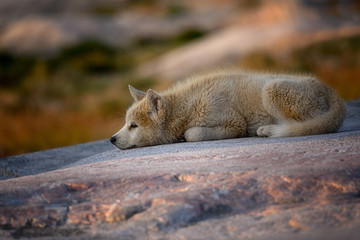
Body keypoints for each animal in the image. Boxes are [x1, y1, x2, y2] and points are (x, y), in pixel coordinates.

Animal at [109, 68, 346, 149]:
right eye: (126, 123)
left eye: (133, 126)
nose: (111, 139)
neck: (190, 105)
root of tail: (331, 91)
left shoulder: (234, 123)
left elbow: (192, 133)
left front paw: (185, 136)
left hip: (271, 89)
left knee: (302, 124)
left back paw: (267, 130)